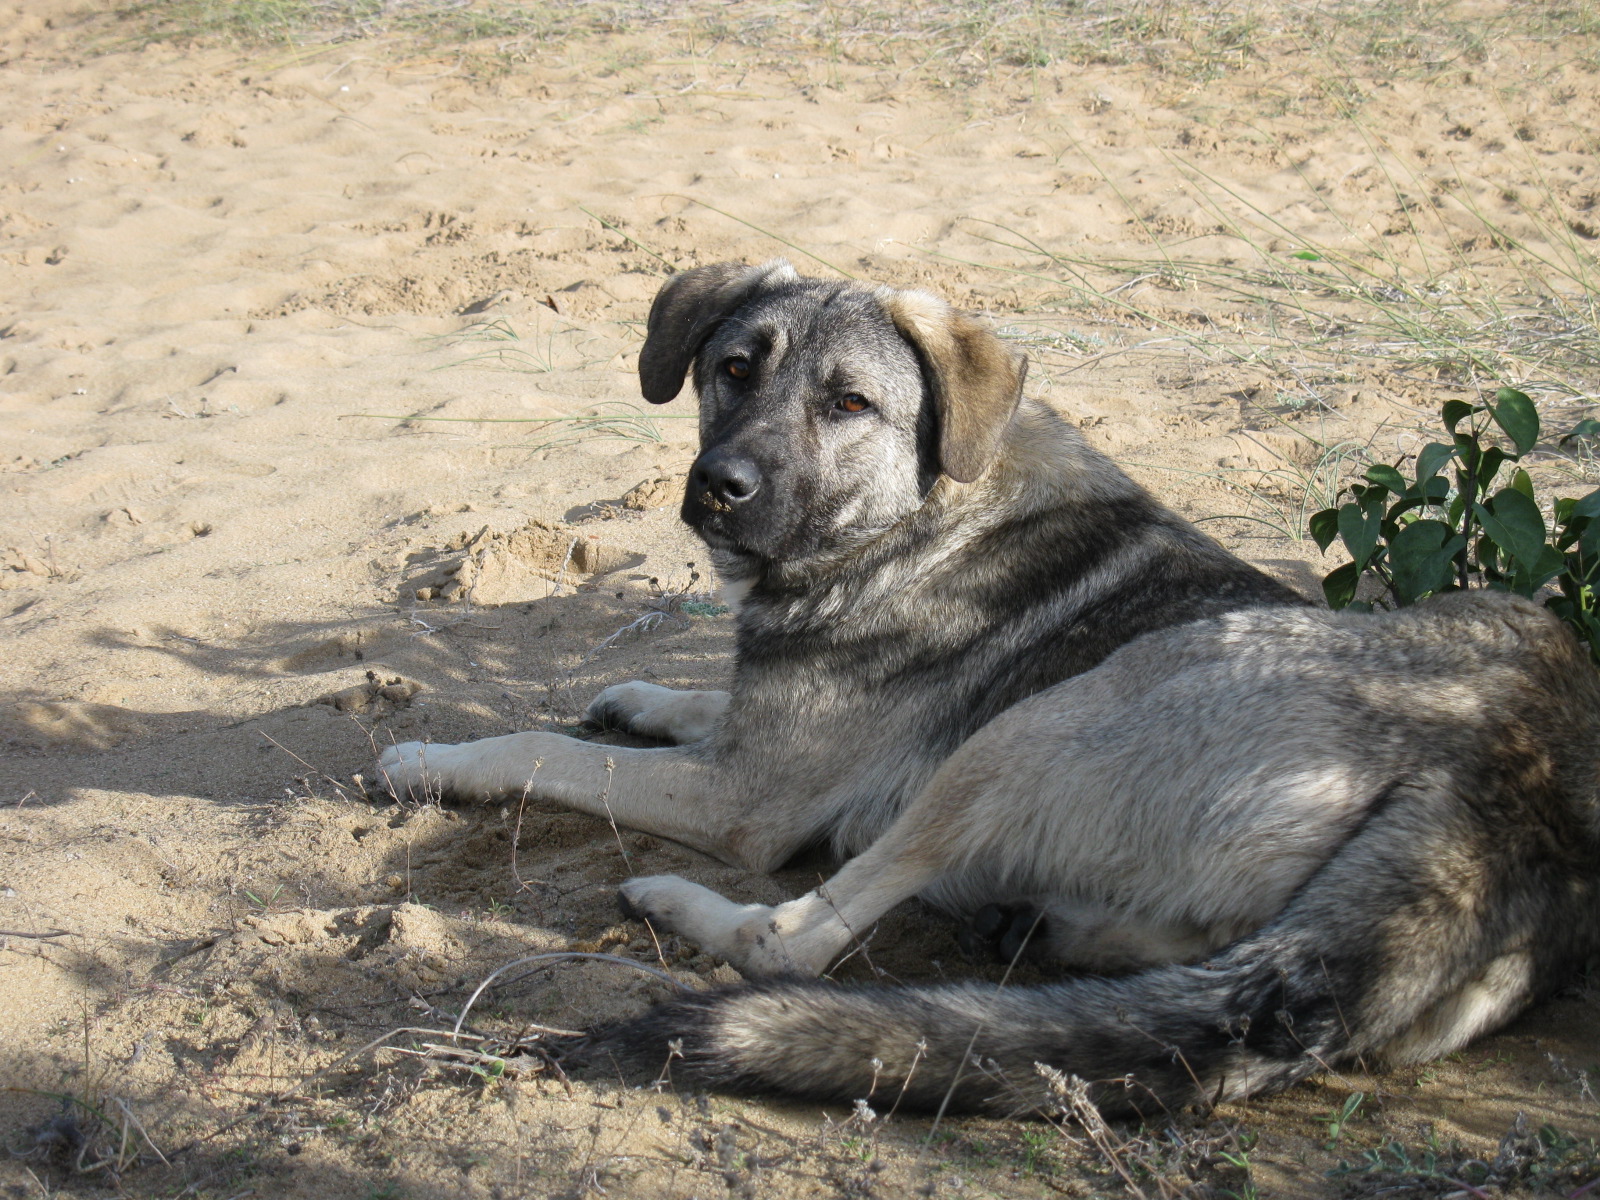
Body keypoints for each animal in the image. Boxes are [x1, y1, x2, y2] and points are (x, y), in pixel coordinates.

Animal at [376, 260, 1600, 1116]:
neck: (918, 513)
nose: (717, 487)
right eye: (734, 371)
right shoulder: (761, 735)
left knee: (795, 940)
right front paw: (636, 695)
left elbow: (545, 751)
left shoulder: (742, 803)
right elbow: (695, 704)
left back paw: (677, 906)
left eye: (849, 405)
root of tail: (1499, 799)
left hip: (1034, 728)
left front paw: (436, 761)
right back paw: (1036, 934)